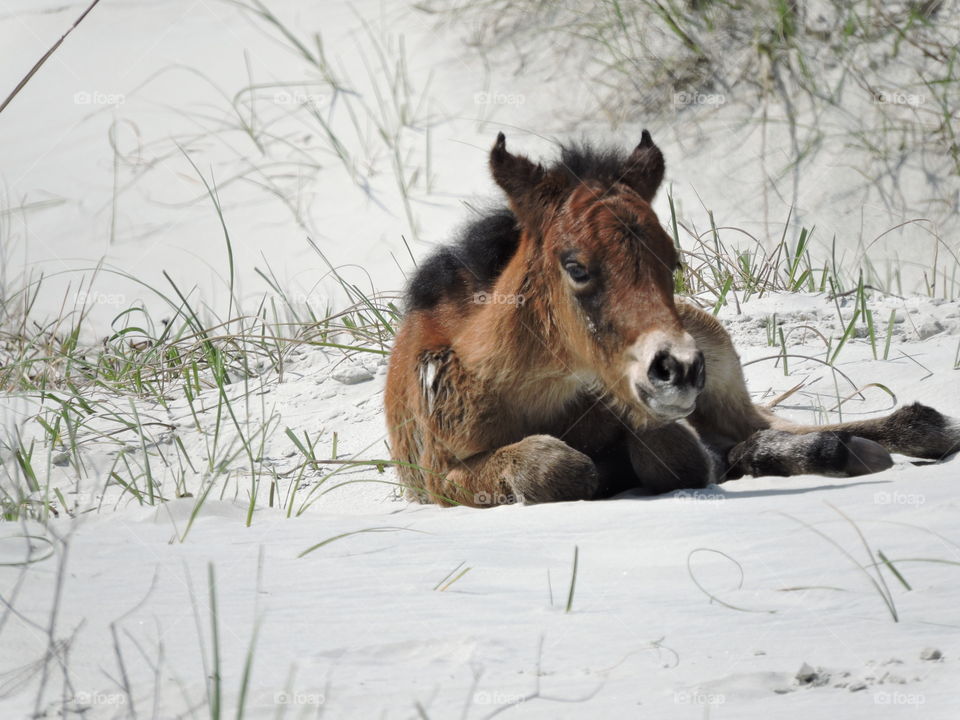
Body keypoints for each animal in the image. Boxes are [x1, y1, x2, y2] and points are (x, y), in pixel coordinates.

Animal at [384, 132, 960, 510]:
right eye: (576, 266)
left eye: (673, 262)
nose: (678, 369)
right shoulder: (438, 479)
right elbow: (556, 467)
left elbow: (676, 450)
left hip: (720, 363)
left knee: (764, 425)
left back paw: (898, 434)